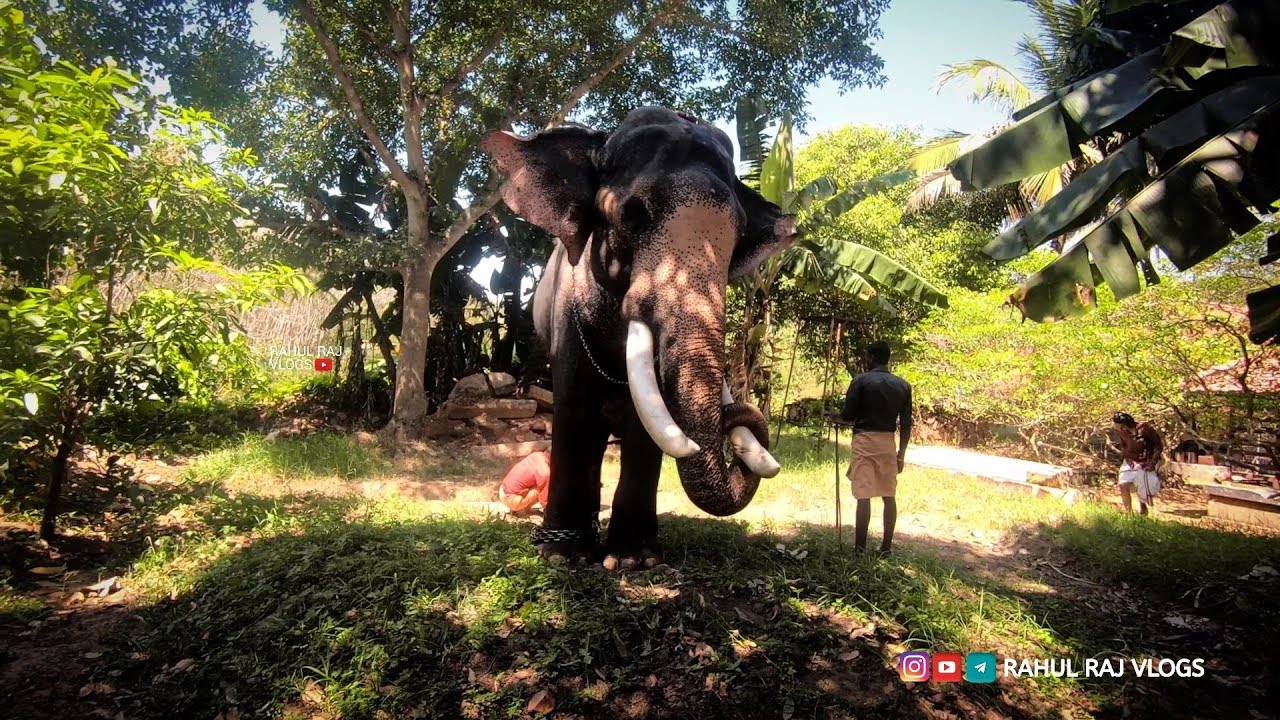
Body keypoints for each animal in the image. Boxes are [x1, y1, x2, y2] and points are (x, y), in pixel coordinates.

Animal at [479, 107, 796, 567]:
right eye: (632, 215)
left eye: (738, 237)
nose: (736, 419)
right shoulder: (566, 320)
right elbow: (573, 409)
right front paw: (563, 556)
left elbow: (646, 429)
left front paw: (634, 559)